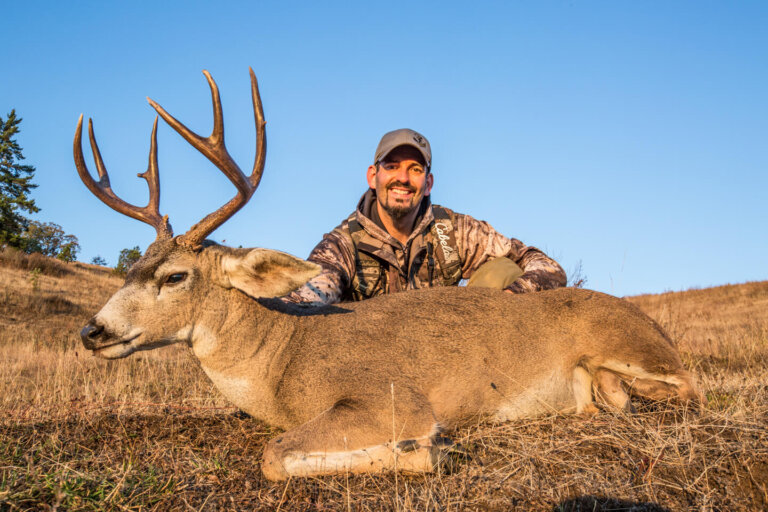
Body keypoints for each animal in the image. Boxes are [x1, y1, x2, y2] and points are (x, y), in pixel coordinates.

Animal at [74, 68, 703, 481]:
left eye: (175, 276)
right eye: (133, 267)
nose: (92, 331)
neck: (281, 360)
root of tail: (659, 332)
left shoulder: (389, 398)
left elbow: (275, 456)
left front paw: (427, 449)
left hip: (632, 349)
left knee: (681, 391)